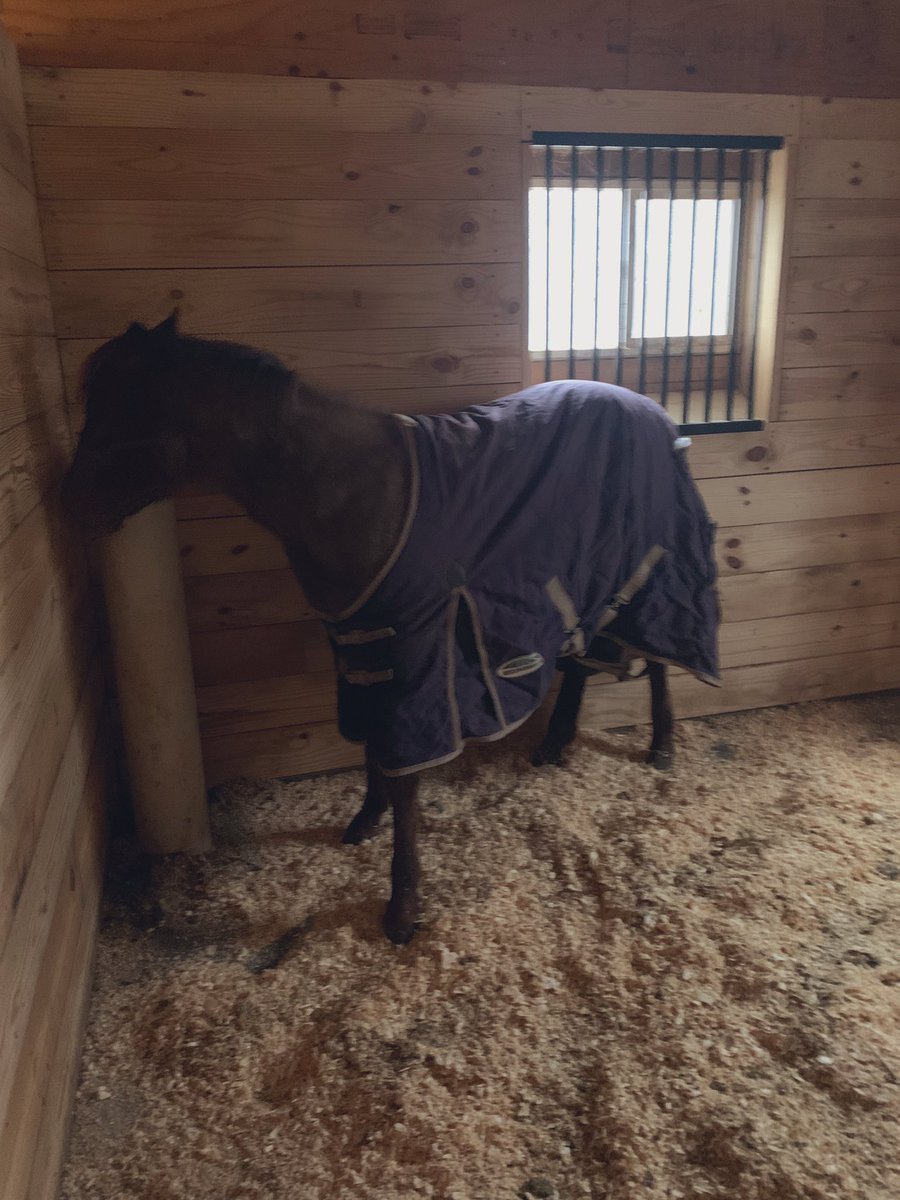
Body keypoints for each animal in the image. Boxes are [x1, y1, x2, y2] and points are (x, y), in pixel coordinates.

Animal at [62, 312, 720, 944]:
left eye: (129, 403)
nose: (74, 501)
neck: (351, 491)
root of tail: (654, 411)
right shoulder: (359, 640)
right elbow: (370, 739)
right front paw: (364, 820)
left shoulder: (417, 646)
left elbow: (404, 769)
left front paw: (402, 910)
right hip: (585, 572)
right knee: (585, 657)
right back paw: (555, 744)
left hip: (652, 564)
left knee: (658, 651)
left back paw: (661, 747)